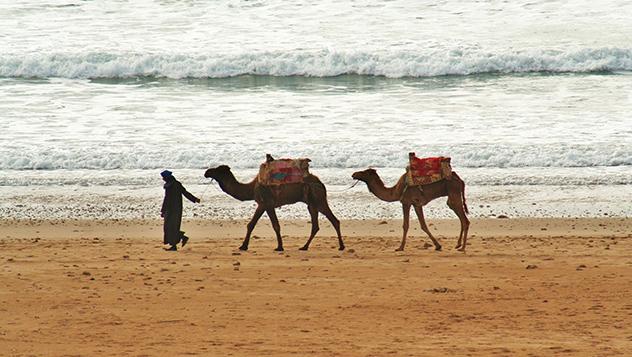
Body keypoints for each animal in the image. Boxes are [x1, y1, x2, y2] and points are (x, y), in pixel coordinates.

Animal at [204, 158, 344, 250]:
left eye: (218, 170)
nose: (206, 172)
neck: (251, 188)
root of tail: (321, 183)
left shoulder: (266, 203)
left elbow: (274, 225)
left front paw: (279, 247)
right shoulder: (263, 204)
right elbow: (251, 224)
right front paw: (243, 246)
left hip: (318, 199)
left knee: (334, 220)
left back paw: (341, 246)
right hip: (311, 203)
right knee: (316, 225)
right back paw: (304, 247)